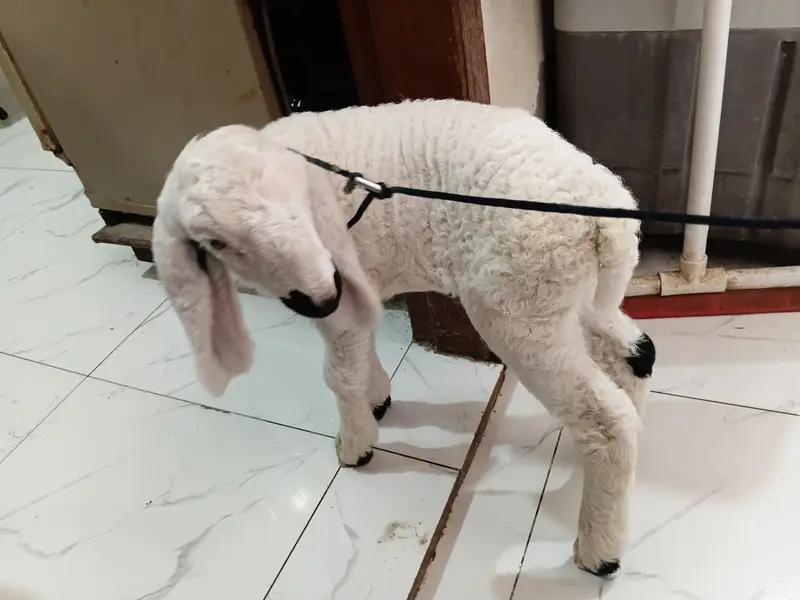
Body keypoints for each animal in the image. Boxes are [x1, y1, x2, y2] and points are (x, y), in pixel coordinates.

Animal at [151, 99, 655, 577]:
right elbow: (358, 351)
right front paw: (376, 399)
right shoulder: (355, 291)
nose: (319, 297)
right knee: (636, 354)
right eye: (216, 243)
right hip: (567, 297)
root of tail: (606, 215)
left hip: (518, 308)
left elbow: (338, 374)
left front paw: (355, 443)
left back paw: (599, 551)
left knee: (608, 419)